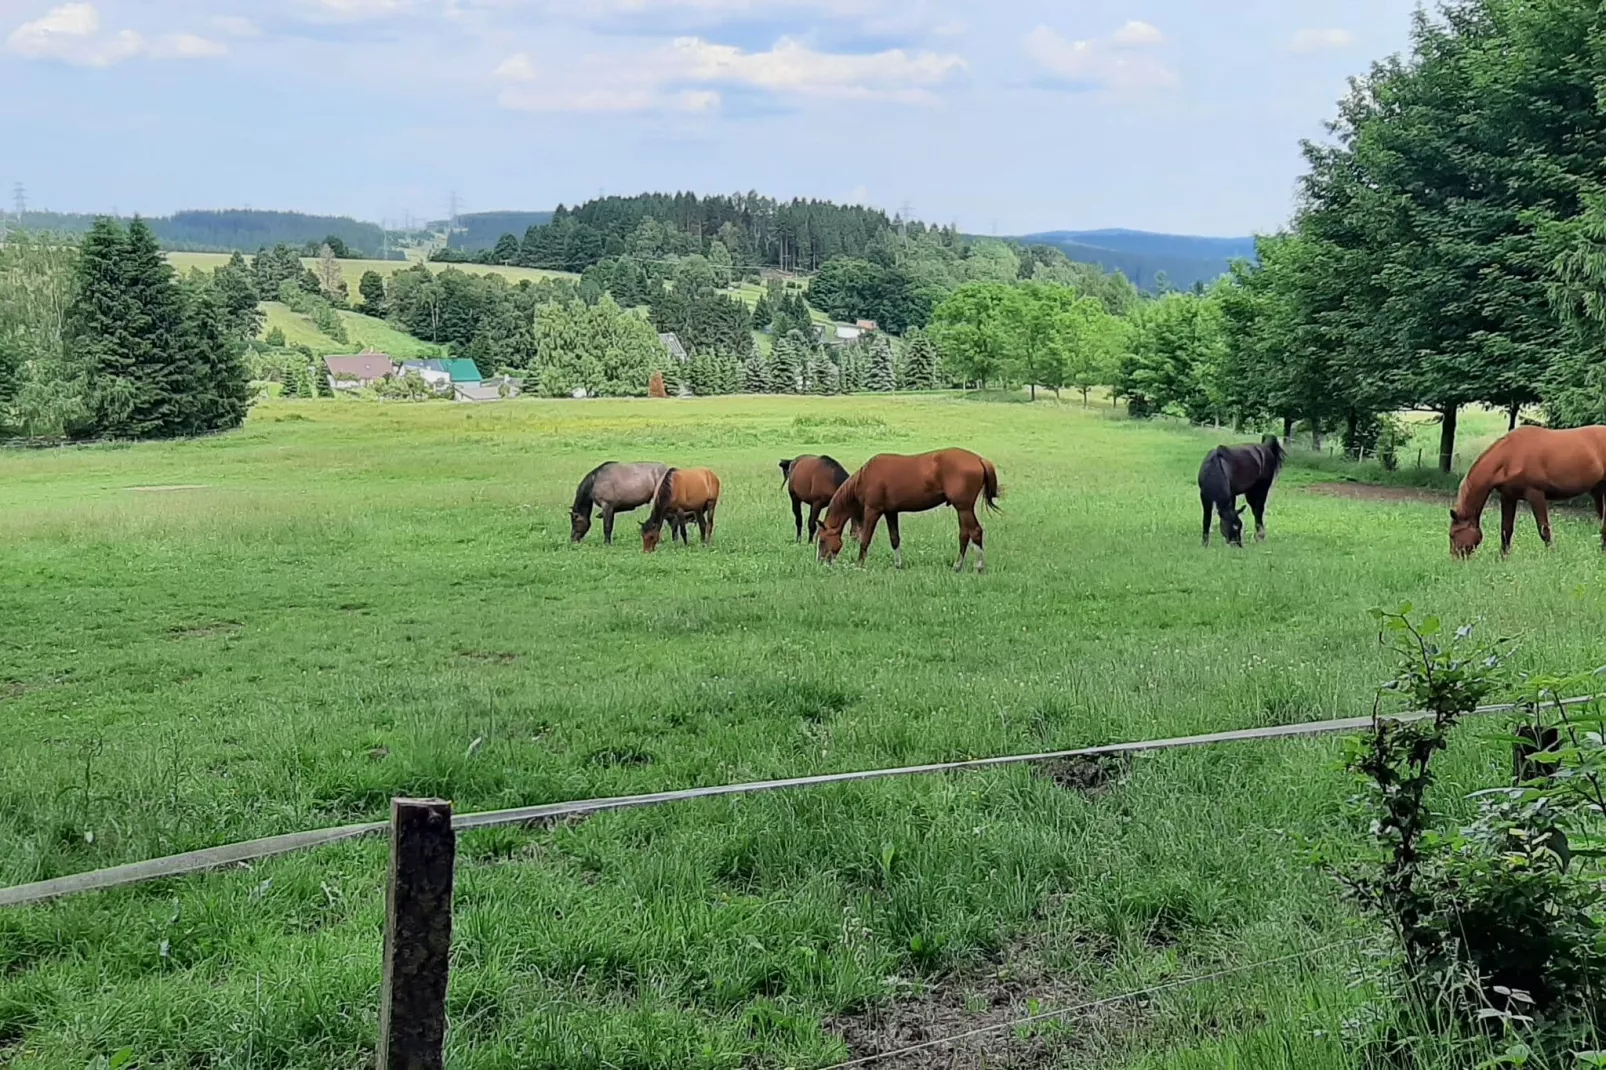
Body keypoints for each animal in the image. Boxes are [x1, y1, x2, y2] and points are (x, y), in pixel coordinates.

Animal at [822, 446, 995, 571]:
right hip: (962, 509)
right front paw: (898, 565)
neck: (865, 477)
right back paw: (957, 566)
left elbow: (865, 539)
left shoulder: (873, 510)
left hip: (964, 508)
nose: (822, 562)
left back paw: (978, 567)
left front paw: (859, 565)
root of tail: (980, 460)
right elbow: (894, 538)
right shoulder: (890, 512)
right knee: (964, 535)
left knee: (975, 532)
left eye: (822, 540)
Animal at [1451, 424, 1606, 559]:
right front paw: (1503, 558)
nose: (1455, 560)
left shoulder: (1535, 494)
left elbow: (1544, 529)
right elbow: (1506, 529)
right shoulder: (1508, 497)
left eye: (1452, 534)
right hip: (1598, 491)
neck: (1510, 456)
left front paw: (1552, 556)